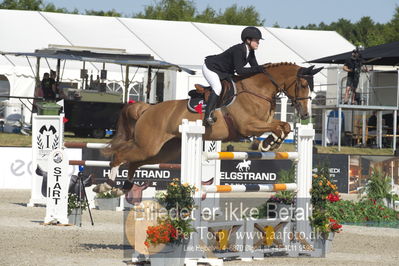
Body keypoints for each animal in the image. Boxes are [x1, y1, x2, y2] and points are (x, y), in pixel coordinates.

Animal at [102, 62, 322, 193]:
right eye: (303, 85)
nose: (305, 115)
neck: (257, 90)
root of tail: (148, 109)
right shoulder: (247, 126)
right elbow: (278, 127)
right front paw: (269, 143)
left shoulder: (261, 124)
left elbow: (283, 126)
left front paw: (270, 143)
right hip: (148, 145)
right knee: (120, 156)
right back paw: (106, 186)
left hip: (162, 151)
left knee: (134, 162)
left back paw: (124, 187)